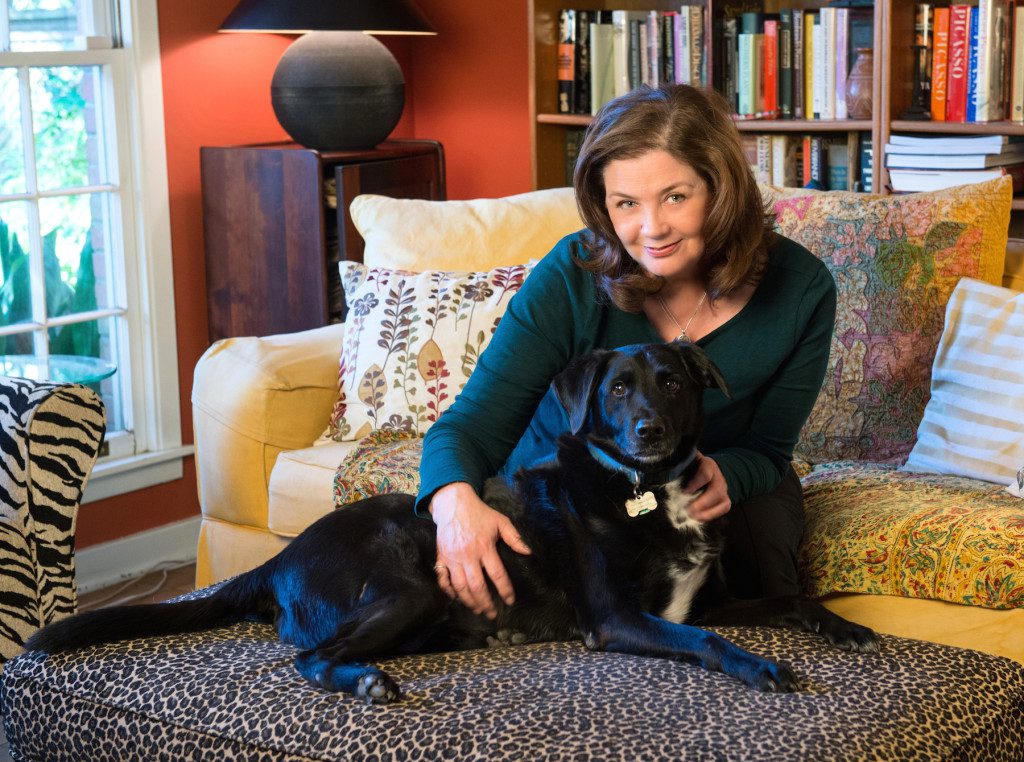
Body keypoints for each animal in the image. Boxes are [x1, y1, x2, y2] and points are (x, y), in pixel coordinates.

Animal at [32, 342, 880, 704]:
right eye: (618, 390)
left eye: (672, 382)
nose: (650, 430)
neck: (642, 490)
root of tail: (277, 560)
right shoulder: (617, 619)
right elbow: (706, 641)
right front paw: (760, 667)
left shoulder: (706, 599)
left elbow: (789, 599)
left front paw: (844, 627)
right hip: (407, 584)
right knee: (308, 658)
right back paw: (366, 682)